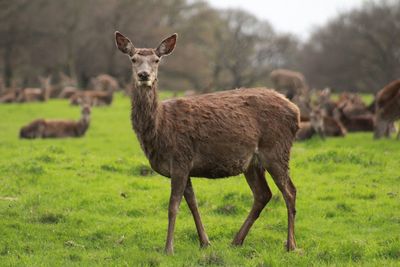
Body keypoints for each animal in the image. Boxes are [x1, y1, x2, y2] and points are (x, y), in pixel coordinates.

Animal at [115, 31, 300, 255]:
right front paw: (205, 241)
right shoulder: (185, 165)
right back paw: (236, 241)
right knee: (263, 194)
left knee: (289, 191)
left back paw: (291, 245)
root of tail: (296, 111)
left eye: (156, 60)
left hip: (276, 149)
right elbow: (192, 203)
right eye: (133, 59)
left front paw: (168, 248)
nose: (144, 75)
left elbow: (173, 206)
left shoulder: (180, 158)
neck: (160, 129)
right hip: (252, 162)